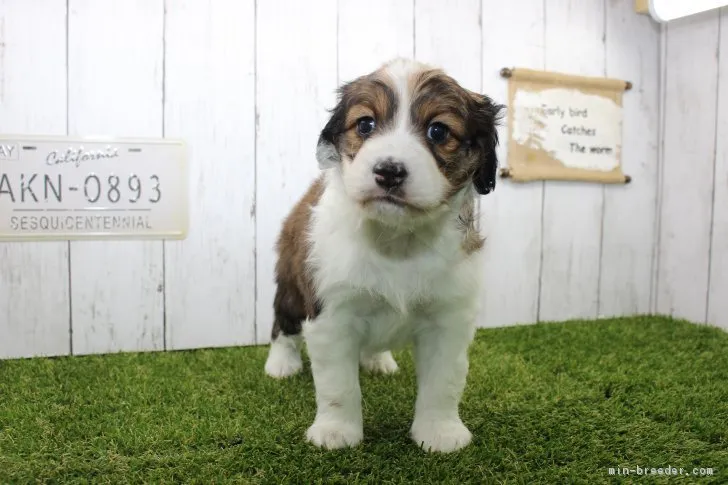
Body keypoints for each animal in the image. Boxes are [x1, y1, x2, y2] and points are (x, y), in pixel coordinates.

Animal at [264, 58, 504, 452]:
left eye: (438, 131)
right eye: (365, 125)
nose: (389, 171)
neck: (397, 241)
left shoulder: (448, 318)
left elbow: (443, 383)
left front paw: (439, 431)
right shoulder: (332, 313)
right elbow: (338, 386)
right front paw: (337, 431)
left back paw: (377, 359)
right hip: (291, 285)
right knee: (283, 323)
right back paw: (281, 363)